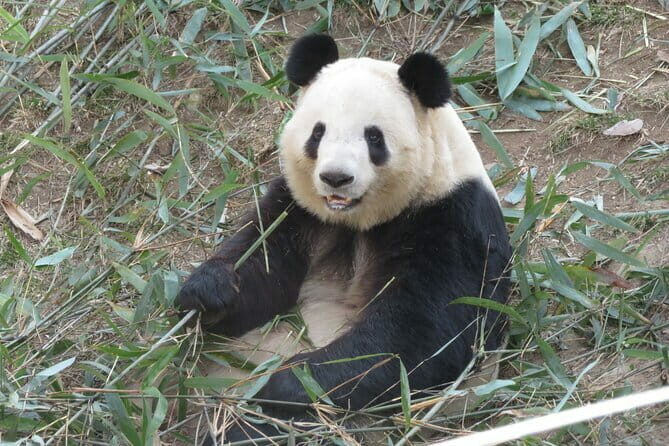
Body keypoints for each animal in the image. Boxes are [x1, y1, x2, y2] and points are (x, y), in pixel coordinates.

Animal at [176, 34, 512, 444]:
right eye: (318, 132)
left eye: (373, 137)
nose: (336, 177)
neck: (356, 220)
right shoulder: (300, 210)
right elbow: (265, 265)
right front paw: (209, 290)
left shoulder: (453, 220)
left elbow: (420, 336)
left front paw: (289, 384)